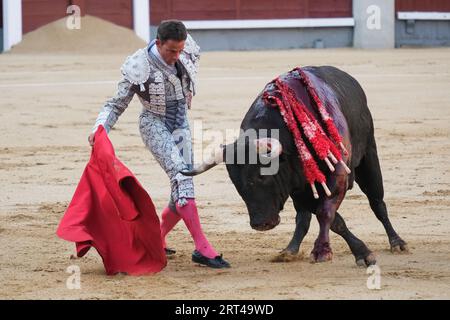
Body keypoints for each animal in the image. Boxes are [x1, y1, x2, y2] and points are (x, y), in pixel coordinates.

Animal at [183, 66, 408, 266]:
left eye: (263, 176)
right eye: (236, 183)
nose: (261, 224)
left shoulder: (338, 175)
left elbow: (326, 213)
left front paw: (324, 251)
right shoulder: (299, 186)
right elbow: (331, 219)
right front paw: (355, 251)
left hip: (369, 156)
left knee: (377, 202)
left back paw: (397, 242)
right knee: (303, 218)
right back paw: (289, 250)